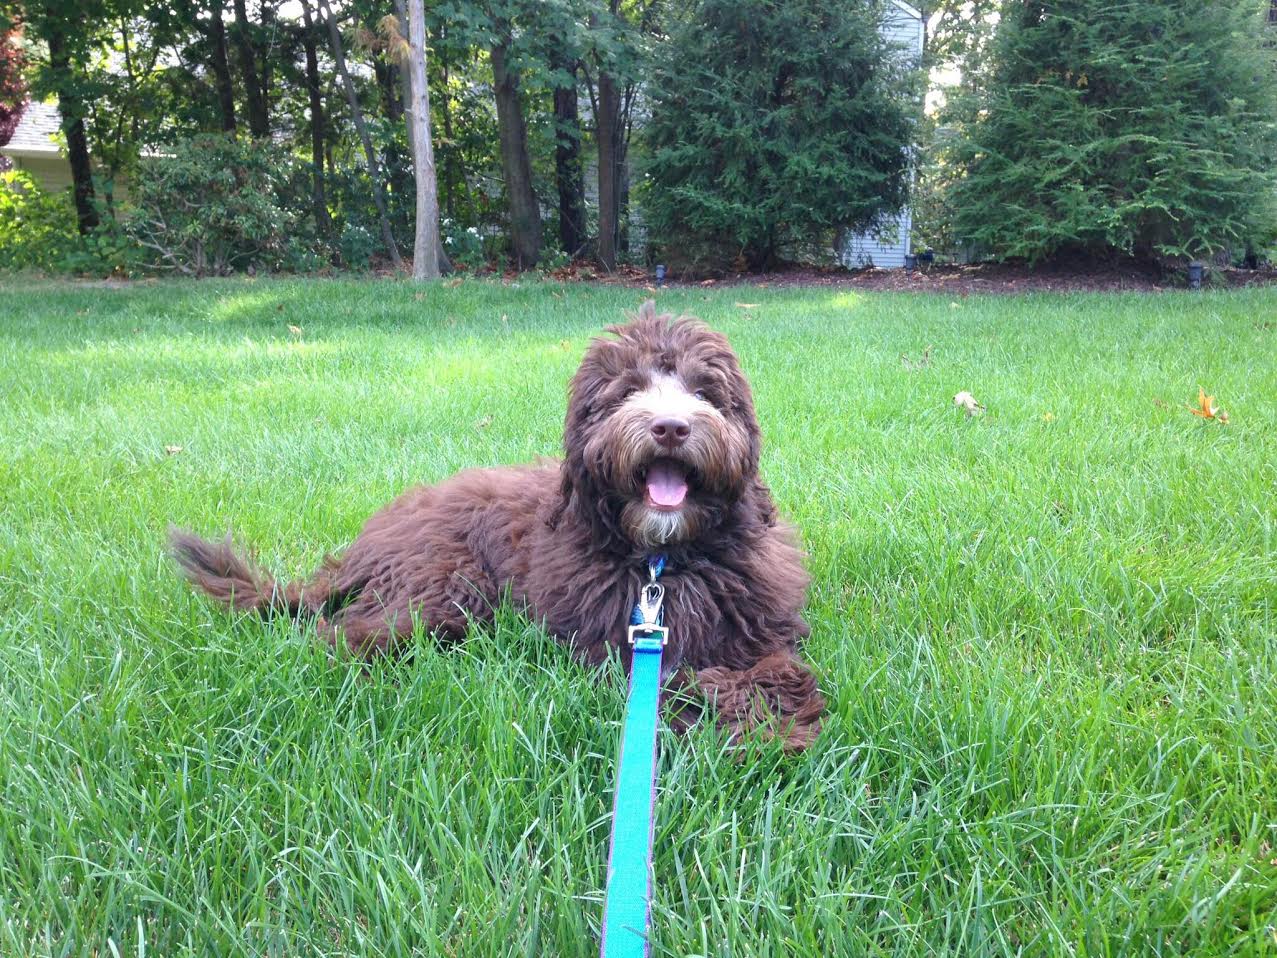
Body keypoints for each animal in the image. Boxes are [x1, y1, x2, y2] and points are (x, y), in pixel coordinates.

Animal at [169, 304, 827, 756]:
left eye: (703, 391)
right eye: (628, 391)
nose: (670, 427)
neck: (662, 560)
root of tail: (367, 544)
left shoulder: (756, 625)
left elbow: (772, 668)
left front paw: (772, 719)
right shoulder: (620, 644)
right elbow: (683, 678)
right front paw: (747, 720)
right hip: (446, 586)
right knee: (343, 634)